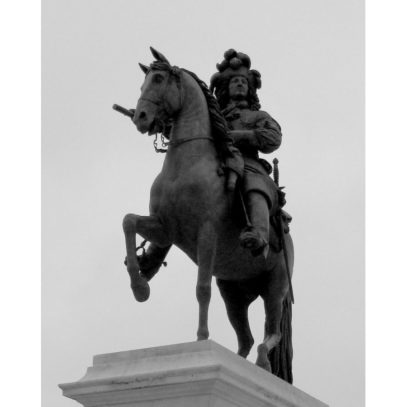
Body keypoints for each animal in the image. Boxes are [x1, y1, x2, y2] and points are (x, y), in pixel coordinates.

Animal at [119, 49, 294, 384]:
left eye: (158, 79)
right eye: (144, 80)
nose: (140, 117)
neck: (186, 165)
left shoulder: (207, 235)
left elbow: (201, 288)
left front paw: (201, 338)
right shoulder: (165, 230)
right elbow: (128, 221)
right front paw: (140, 286)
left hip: (275, 286)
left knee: (272, 331)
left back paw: (263, 363)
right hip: (234, 293)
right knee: (246, 338)